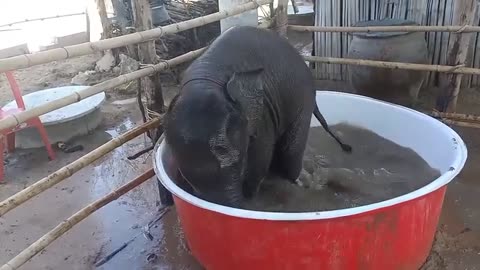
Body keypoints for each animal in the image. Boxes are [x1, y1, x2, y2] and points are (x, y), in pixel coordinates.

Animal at [163, 26, 350, 207]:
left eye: (239, 162)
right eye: (185, 176)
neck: (205, 80)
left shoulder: (262, 112)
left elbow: (260, 160)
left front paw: (252, 197)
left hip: (303, 98)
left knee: (290, 155)